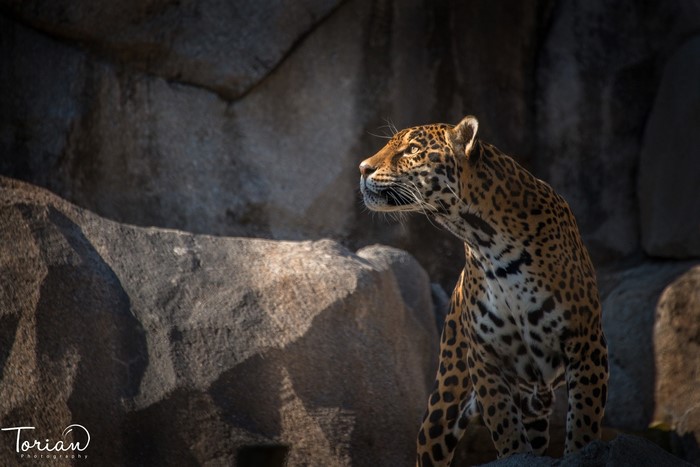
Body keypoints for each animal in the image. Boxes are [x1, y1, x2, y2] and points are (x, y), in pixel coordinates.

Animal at [358, 116, 609, 466]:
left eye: (412, 150)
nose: (362, 168)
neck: (488, 242)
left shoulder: (586, 344)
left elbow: (585, 417)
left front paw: (580, 452)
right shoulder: (483, 358)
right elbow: (506, 429)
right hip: (445, 399)